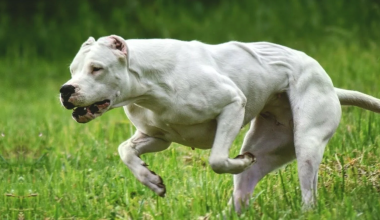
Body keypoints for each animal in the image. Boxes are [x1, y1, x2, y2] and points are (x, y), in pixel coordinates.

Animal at [60, 35, 380, 212]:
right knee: (244, 187)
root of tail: (332, 88)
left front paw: (239, 160)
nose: (65, 89)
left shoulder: (231, 105)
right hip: (272, 148)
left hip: (306, 144)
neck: (147, 82)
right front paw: (150, 179)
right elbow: (125, 150)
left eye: (97, 68)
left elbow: (216, 159)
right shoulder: (157, 137)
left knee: (308, 192)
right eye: (72, 70)